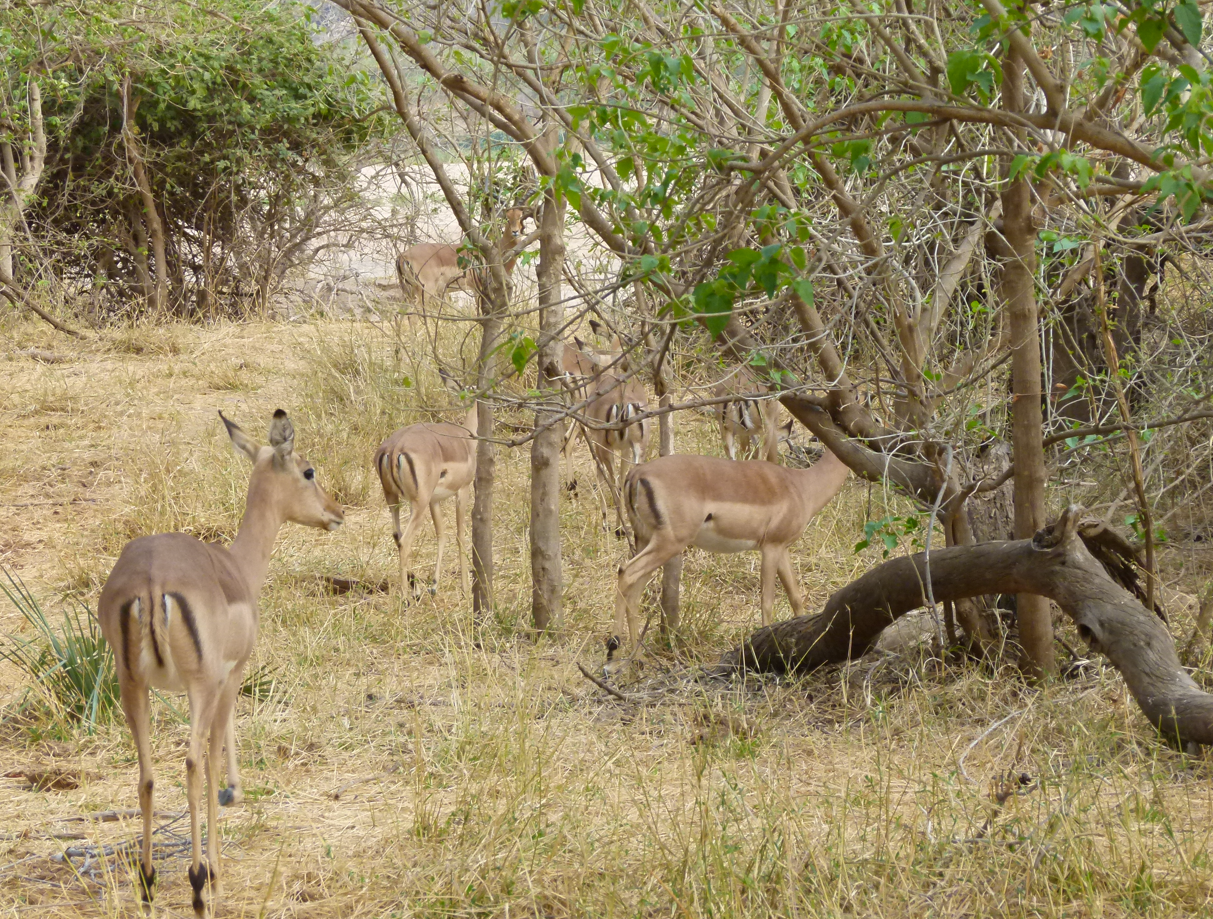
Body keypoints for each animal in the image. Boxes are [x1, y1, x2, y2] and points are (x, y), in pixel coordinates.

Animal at [98, 410, 343, 917]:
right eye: (308, 470)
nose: (335, 511)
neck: (238, 569)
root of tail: (151, 582)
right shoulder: (230, 678)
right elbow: (215, 761)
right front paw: (214, 871)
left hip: (131, 686)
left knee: (147, 777)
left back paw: (148, 882)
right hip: (198, 685)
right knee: (193, 764)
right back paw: (195, 883)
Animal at [374, 394, 478, 597]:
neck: (466, 440)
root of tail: (394, 449)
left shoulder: (434, 501)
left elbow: (441, 534)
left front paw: (435, 585)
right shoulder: (463, 490)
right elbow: (460, 535)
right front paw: (465, 588)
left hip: (392, 498)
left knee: (397, 535)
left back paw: (416, 588)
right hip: (418, 505)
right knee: (405, 542)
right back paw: (406, 598)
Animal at [396, 208, 528, 318]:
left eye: (520, 216)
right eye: (507, 218)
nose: (515, 232)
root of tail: (403, 256)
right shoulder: (480, 290)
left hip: (408, 292)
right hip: (425, 291)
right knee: (414, 315)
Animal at [608, 446, 851, 662]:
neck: (801, 486)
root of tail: (637, 474)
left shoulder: (783, 549)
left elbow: (795, 598)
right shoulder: (771, 547)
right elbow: (767, 601)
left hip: (646, 541)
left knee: (634, 592)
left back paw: (638, 658)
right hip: (668, 543)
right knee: (625, 572)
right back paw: (613, 650)